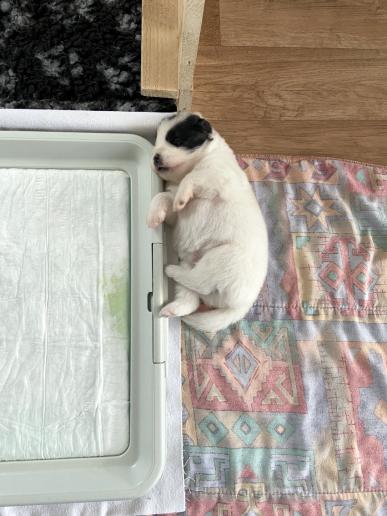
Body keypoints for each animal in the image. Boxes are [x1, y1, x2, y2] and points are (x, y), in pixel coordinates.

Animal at [147, 111, 268, 332]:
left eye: (176, 139)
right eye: (156, 143)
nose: (155, 157)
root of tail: (240, 307)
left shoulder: (215, 176)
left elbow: (192, 179)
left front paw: (181, 198)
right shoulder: (175, 210)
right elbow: (163, 197)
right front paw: (154, 215)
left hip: (222, 258)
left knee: (200, 282)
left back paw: (169, 269)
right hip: (191, 262)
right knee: (191, 298)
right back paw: (171, 307)